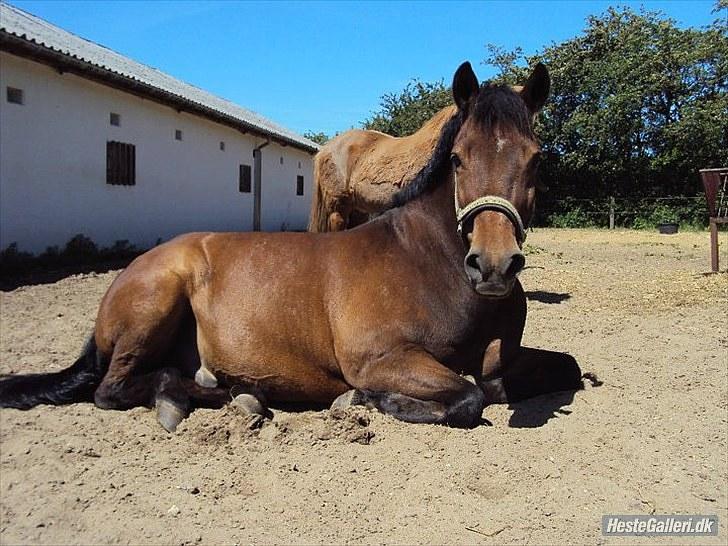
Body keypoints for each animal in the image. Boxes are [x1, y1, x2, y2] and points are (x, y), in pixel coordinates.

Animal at [0, 61, 584, 432]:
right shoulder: (381, 359)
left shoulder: (500, 360)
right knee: (112, 389)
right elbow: (467, 397)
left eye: (535, 158)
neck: (428, 262)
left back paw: (230, 393)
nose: (493, 266)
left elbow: (557, 370)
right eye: (459, 158)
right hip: (156, 301)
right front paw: (367, 400)